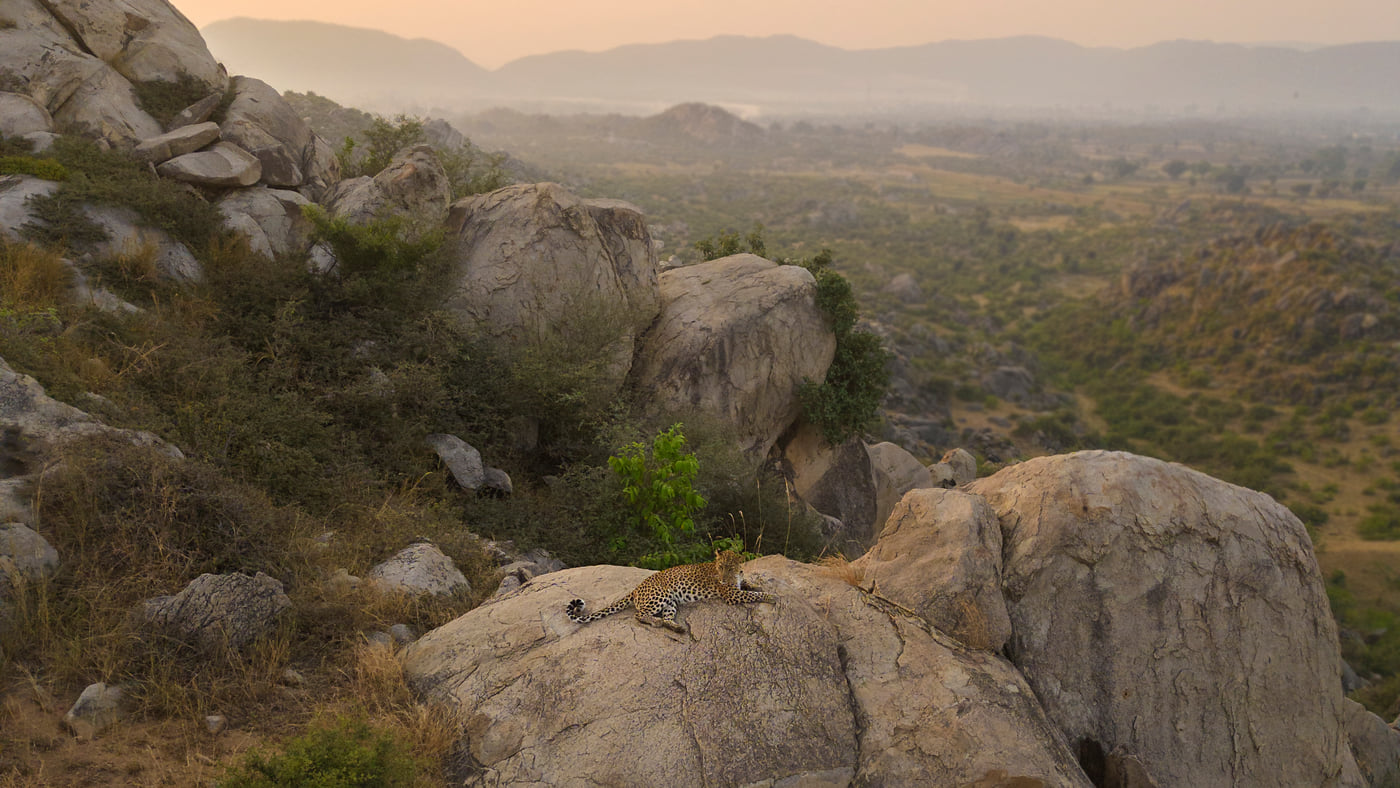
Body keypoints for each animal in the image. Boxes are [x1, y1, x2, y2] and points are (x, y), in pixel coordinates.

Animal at [565, 549, 776, 634]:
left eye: (730, 568)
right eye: (720, 567)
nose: (722, 578)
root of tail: (636, 589)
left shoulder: (738, 584)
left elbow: (749, 585)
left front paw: (758, 585)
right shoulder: (732, 595)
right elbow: (752, 595)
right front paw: (771, 596)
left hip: (670, 602)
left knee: (667, 617)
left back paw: (678, 628)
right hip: (659, 597)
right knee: (638, 614)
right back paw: (656, 622)